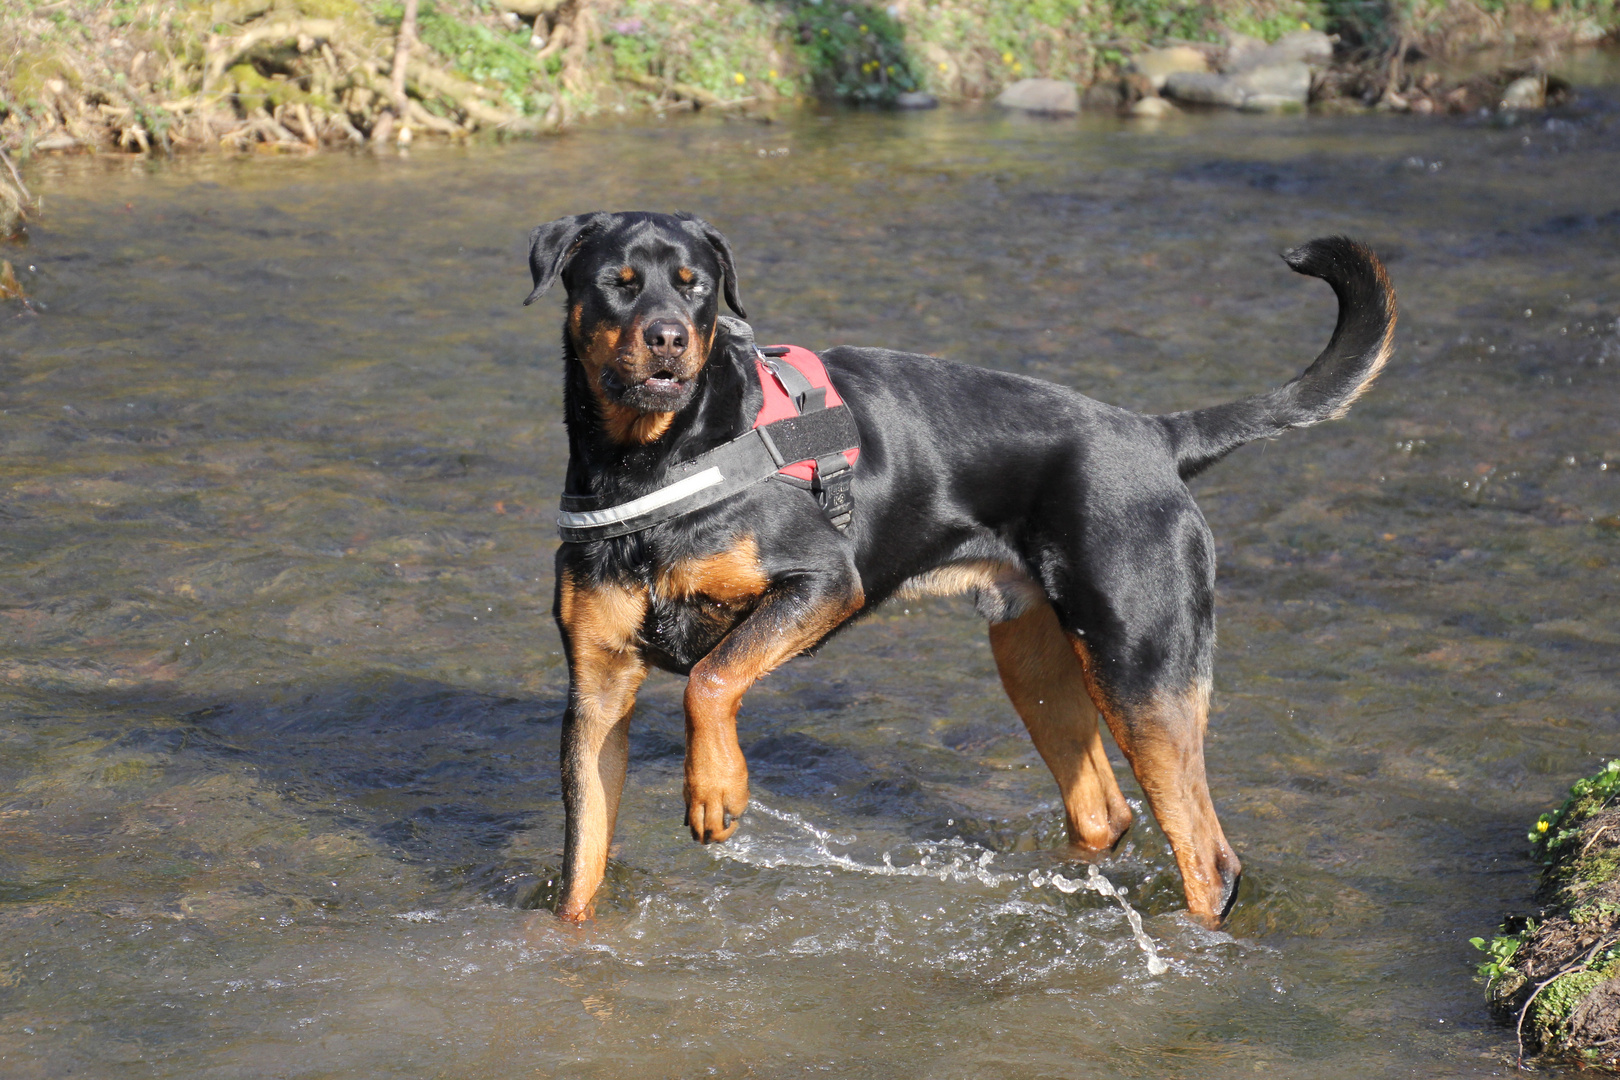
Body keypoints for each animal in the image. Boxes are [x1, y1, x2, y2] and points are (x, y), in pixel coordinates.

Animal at [531, 213, 1393, 932]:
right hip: (1036, 661)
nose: (669, 338)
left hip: (1141, 670)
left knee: (1209, 859)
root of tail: (1157, 436)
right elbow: (581, 863)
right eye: (619, 283)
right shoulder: (598, 691)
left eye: (695, 285)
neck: (653, 459)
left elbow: (711, 679)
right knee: (1103, 812)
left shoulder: (823, 582)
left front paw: (715, 789)